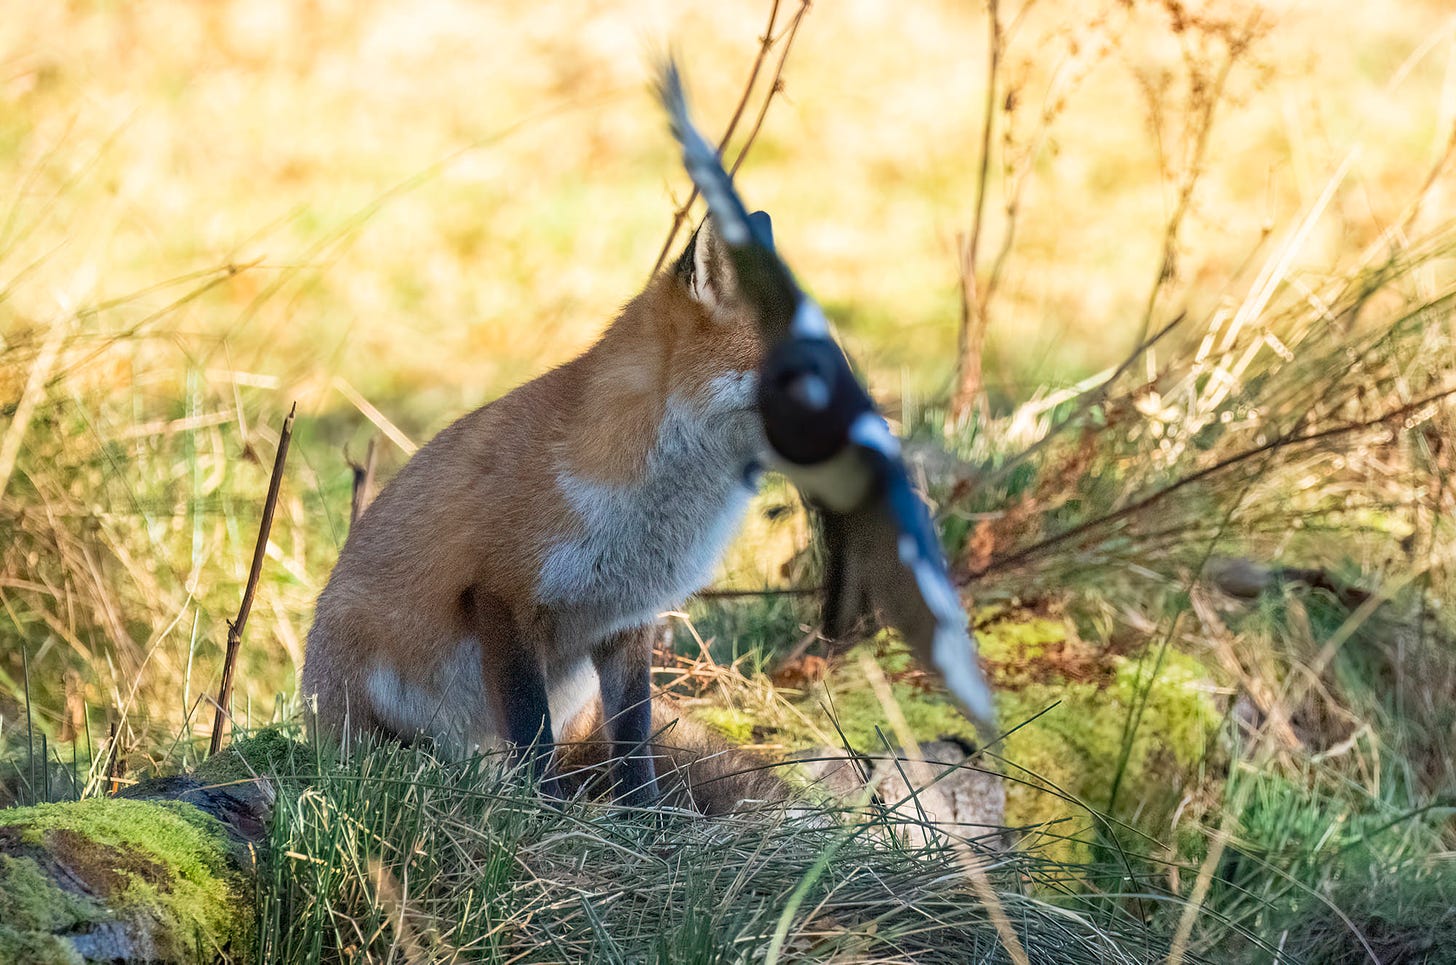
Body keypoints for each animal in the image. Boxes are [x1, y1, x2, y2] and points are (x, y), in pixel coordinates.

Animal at [302, 215, 768, 803]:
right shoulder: (503, 592)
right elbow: (530, 727)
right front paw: (539, 809)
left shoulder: (627, 618)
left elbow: (634, 739)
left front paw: (645, 816)